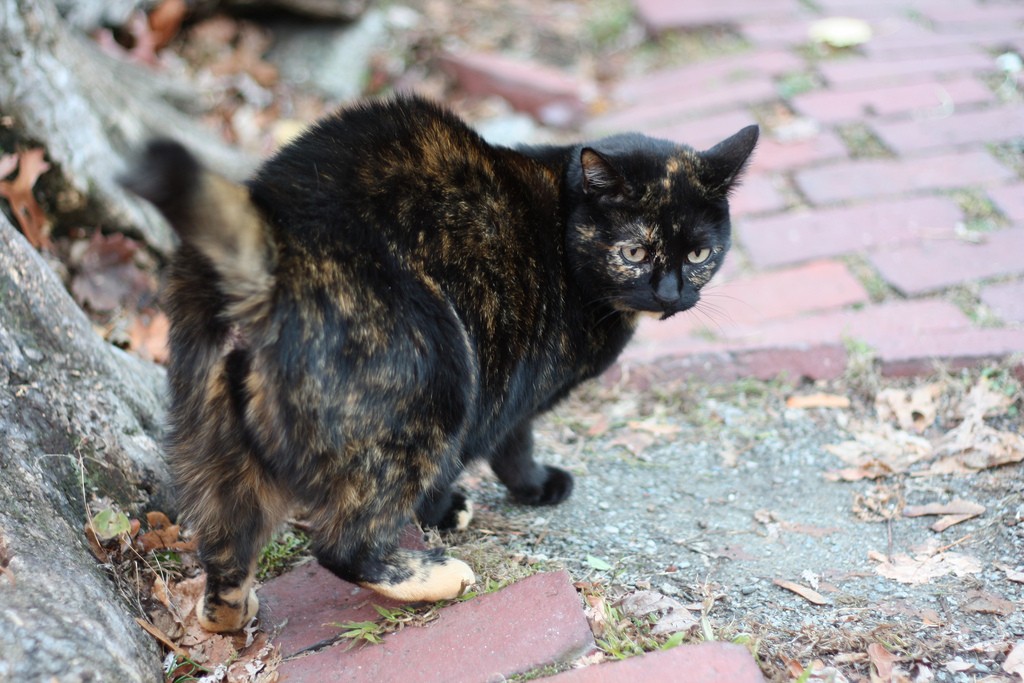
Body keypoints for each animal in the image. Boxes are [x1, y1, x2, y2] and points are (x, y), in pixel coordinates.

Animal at [123, 93, 757, 634]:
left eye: (699, 253)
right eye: (634, 251)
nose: (673, 292)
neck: (561, 222)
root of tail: (276, 253)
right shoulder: (510, 388)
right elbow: (506, 446)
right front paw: (504, 494)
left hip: (216, 441)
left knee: (224, 547)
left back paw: (230, 612)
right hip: (438, 378)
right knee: (343, 544)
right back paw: (436, 576)